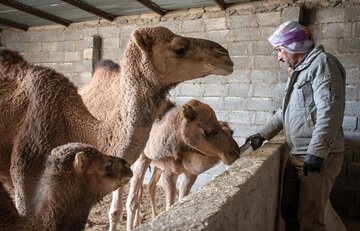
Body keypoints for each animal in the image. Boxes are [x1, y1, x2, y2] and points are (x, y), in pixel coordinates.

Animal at [125, 100, 240, 230]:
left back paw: (148, 219)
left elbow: (181, 200)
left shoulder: (190, 175)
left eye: (232, 132)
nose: (234, 153)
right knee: (135, 194)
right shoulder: (167, 172)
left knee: (149, 187)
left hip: (157, 167)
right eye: (207, 132)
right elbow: (164, 205)